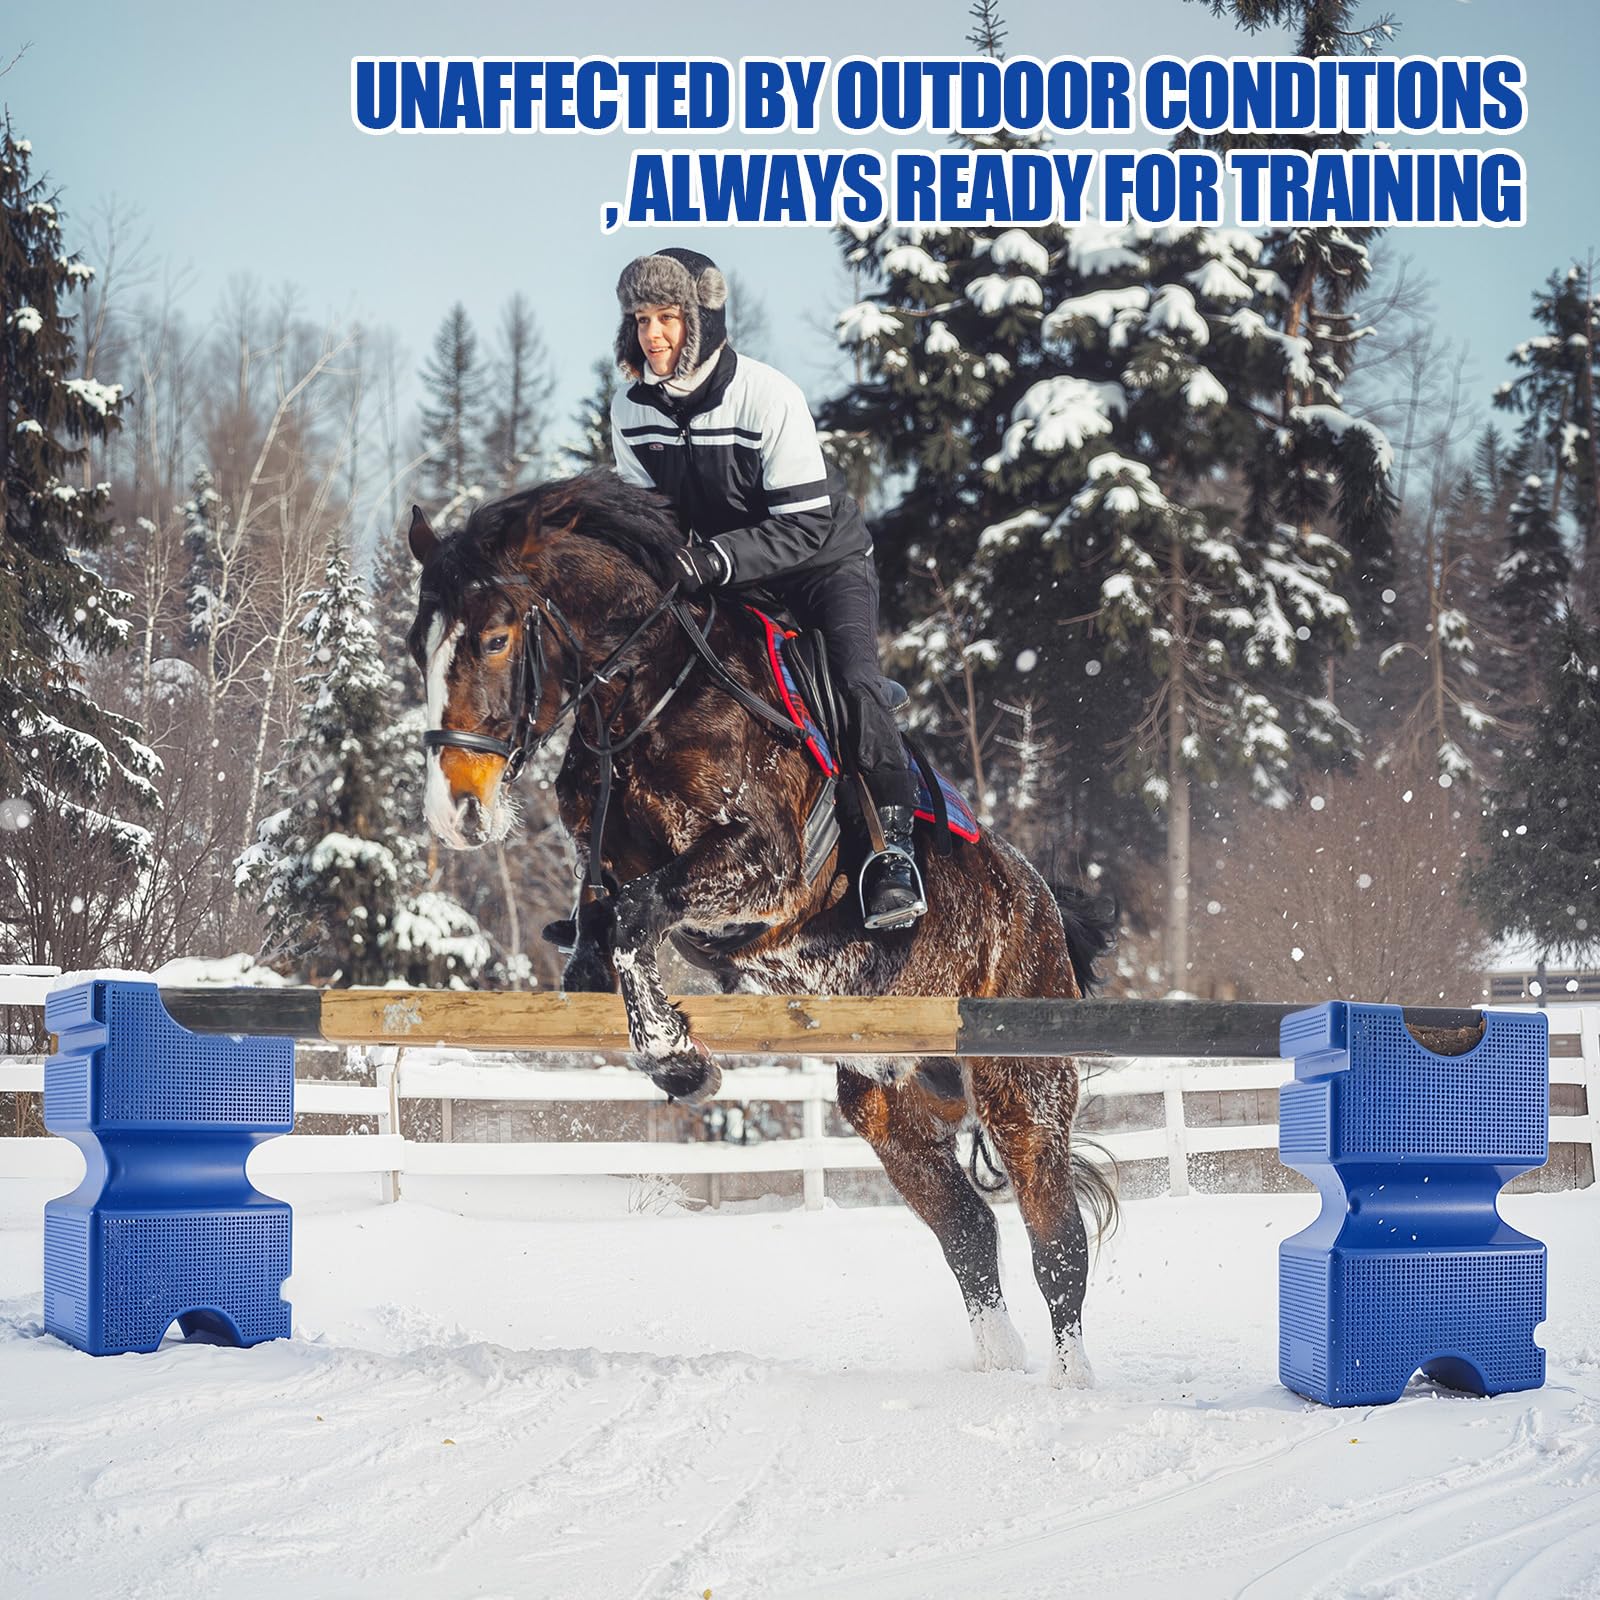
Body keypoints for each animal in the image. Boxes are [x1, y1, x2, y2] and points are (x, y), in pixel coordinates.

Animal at [406, 470, 1118, 1387]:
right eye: (418, 647)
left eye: (496, 639)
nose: (456, 812)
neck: (650, 699)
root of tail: (1044, 905)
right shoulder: (616, 867)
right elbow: (614, 930)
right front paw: (670, 1048)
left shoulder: (770, 868)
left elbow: (640, 915)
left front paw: (678, 1060)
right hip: (885, 1100)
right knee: (967, 1231)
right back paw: (999, 1366)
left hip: (1019, 1082)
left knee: (1054, 1236)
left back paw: (1071, 1385)